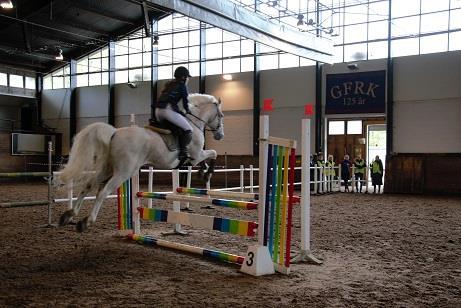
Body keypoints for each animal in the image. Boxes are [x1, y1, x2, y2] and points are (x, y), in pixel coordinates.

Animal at [56, 92, 226, 232]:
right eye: (221, 115)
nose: (220, 135)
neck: (193, 123)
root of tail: (115, 133)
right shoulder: (197, 155)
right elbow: (213, 153)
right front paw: (207, 174)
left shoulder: (195, 158)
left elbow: (207, 158)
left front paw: (203, 172)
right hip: (124, 172)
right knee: (102, 192)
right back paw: (86, 221)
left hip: (108, 168)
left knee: (88, 186)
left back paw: (68, 215)